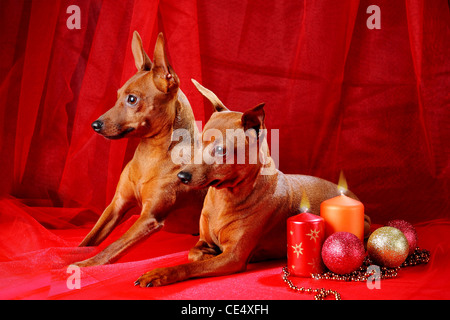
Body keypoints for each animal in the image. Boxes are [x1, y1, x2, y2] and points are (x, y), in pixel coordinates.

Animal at [74, 32, 206, 268]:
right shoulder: (116, 206)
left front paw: (84, 265)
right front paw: (73, 255)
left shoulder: (148, 219)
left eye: (132, 99)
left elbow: (110, 248)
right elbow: (88, 240)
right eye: (118, 95)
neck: (149, 157)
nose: (94, 125)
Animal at [134, 80, 372, 288]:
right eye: (199, 142)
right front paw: (204, 254)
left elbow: (188, 266)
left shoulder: (233, 257)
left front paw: (160, 274)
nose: (181, 176)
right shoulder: (204, 243)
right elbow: (194, 255)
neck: (224, 198)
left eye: (220, 150)